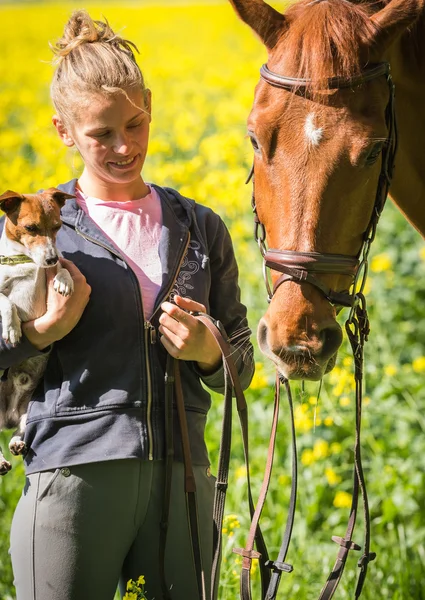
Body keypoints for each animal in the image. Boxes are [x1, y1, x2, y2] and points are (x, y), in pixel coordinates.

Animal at [0, 188, 73, 474]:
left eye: (58, 226)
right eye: (30, 228)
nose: (50, 257)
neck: (24, 261)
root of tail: (8, 415)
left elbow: (64, 268)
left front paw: (64, 280)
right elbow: (5, 300)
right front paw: (11, 327)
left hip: (31, 409)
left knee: (20, 429)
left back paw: (16, 443)